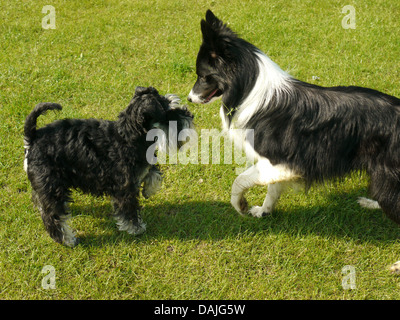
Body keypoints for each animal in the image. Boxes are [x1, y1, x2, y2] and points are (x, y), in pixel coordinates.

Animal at [24, 86, 194, 246]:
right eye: (169, 114)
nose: (190, 116)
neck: (129, 136)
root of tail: (32, 138)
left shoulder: (142, 167)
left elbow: (154, 173)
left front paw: (149, 190)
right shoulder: (125, 188)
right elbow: (129, 210)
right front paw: (136, 229)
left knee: (41, 201)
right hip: (53, 187)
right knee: (52, 216)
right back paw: (67, 240)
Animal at [189, 11, 400, 272]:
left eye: (202, 76)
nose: (189, 98)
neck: (251, 89)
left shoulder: (283, 163)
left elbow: (239, 181)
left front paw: (241, 206)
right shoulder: (275, 166)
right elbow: (272, 190)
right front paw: (263, 212)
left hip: (386, 178)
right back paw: (371, 203)